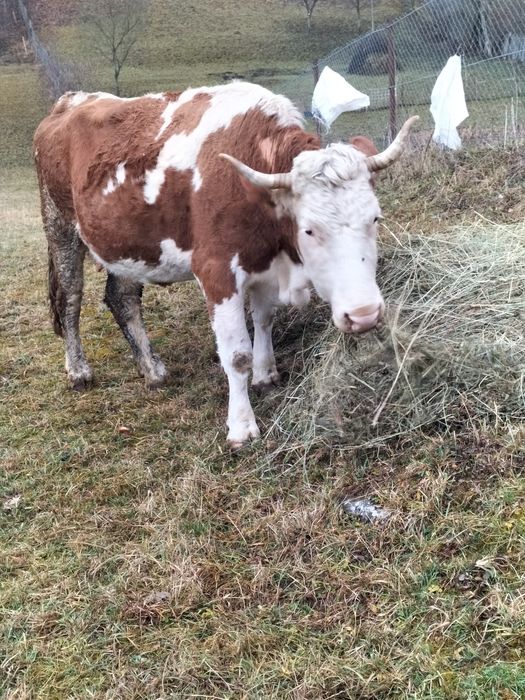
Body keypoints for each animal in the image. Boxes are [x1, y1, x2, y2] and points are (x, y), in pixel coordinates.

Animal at [33, 82, 417, 447]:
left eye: (375, 218)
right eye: (309, 229)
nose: (364, 314)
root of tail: (70, 101)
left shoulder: (264, 264)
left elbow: (263, 320)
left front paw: (266, 373)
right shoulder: (216, 271)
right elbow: (236, 355)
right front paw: (242, 425)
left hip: (129, 246)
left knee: (122, 298)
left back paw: (152, 369)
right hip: (60, 227)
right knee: (69, 301)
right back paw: (78, 370)